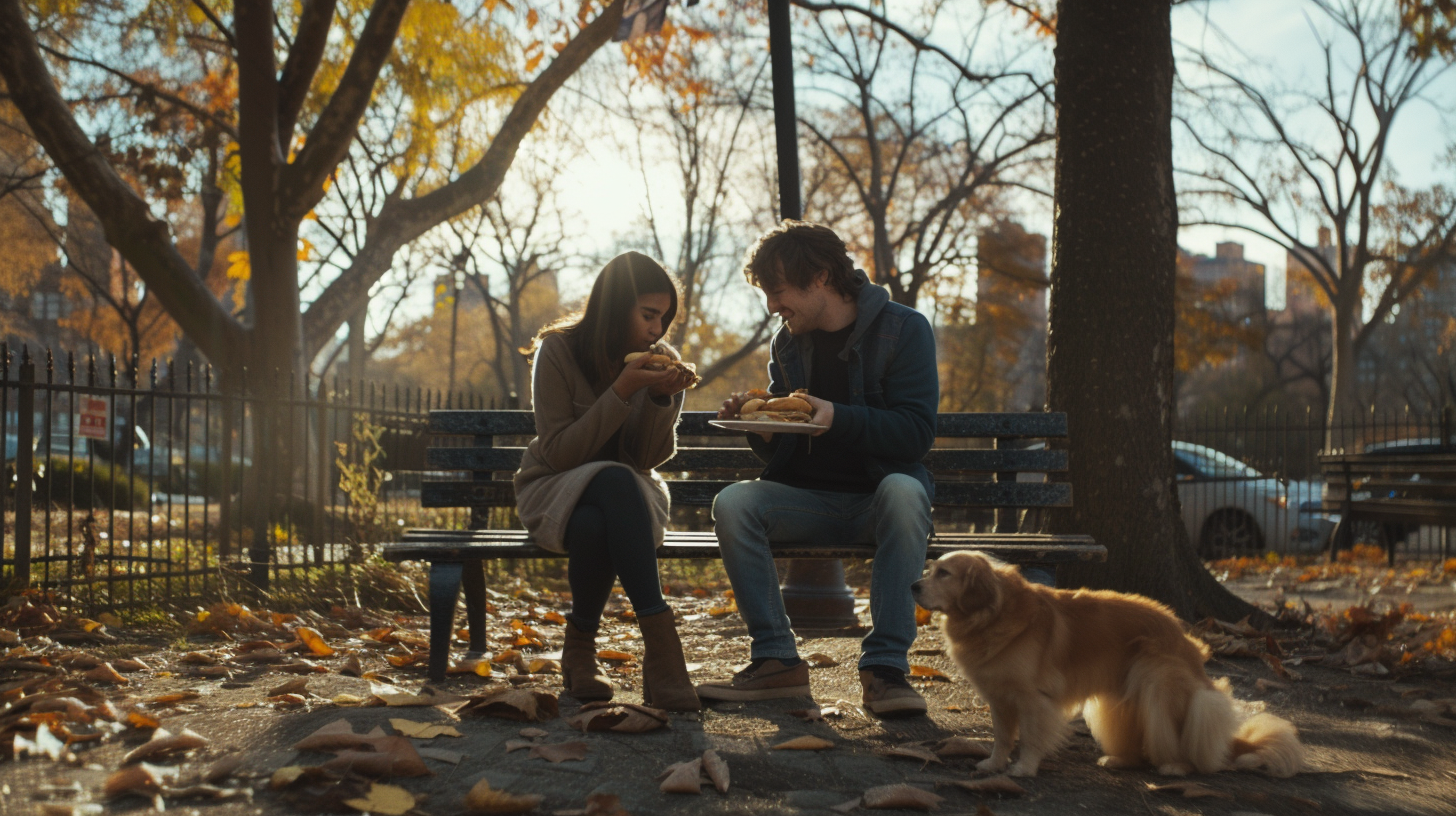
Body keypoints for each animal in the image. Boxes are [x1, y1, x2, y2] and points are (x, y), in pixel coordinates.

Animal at [914, 547, 1304, 775]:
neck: (992, 614)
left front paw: (1023, 769)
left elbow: (1030, 738)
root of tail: (1183, 638)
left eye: (944, 574)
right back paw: (1120, 759)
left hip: (1159, 681)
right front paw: (994, 764)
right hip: (1116, 700)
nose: (914, 586)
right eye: (930, 569)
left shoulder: (1033, 699)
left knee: (1181, 735)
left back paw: (1176, 766)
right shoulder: (1000, 699)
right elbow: (1001, 737)